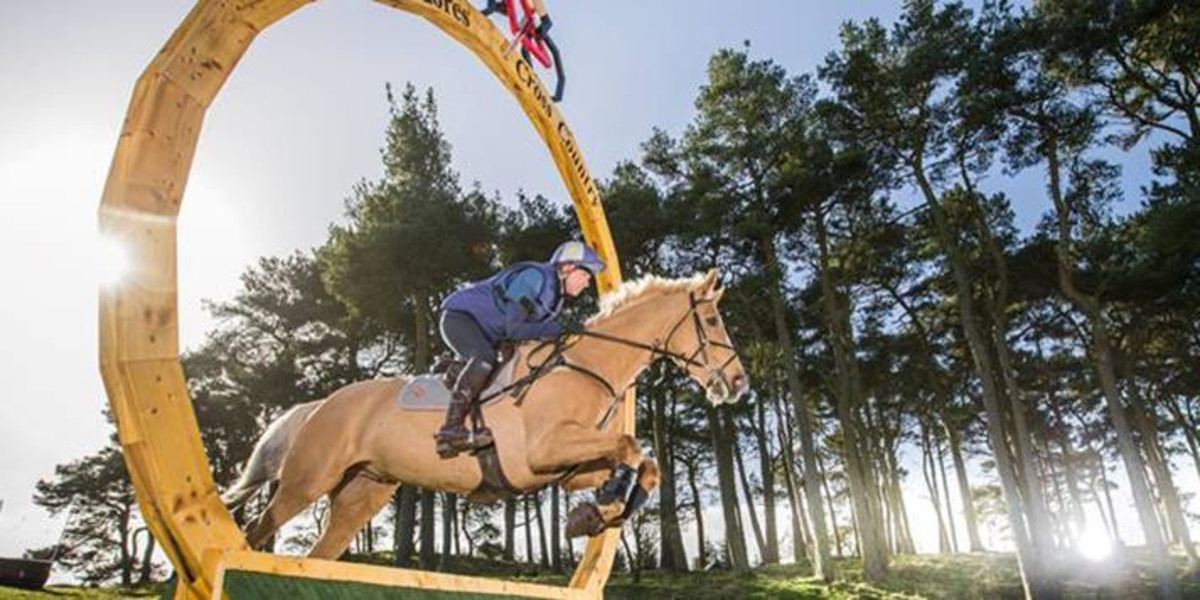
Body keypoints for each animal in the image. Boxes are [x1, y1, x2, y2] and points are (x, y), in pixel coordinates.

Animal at [220, 267, 744, 556]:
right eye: (712, 319)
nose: (739, 382)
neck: (586, 367)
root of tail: (318, 405)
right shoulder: (542, 451)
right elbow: (629, 443)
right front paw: (604, 506)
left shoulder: (567, 468)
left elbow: (641, 461)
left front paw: (599, 511)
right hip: (306, 482)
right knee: (256, 529)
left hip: (360, 494)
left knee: (319, 551)